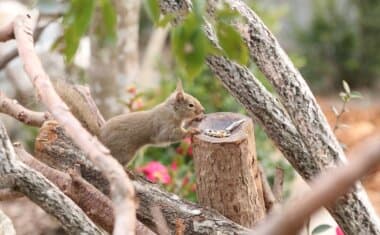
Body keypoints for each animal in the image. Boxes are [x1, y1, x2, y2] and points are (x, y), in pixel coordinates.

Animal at [53, 79, 205, 165]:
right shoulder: (164, 125)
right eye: (191, 105)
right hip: (124, 152)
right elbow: (169, 135)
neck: (172, 111)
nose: (202, 110)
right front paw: (191, 131)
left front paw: (196, 120)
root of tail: (99, 138)